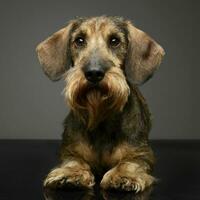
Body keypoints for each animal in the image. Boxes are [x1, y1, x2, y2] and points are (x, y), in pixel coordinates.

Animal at [36, 16, 164, 193]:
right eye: (79, 40)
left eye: (115, 41)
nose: (94, 73)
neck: (100, 119)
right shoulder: (70, 151)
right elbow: (73, 160)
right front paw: (70, 173)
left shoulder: (142, 153)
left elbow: (130, 162)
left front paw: (124, 175)